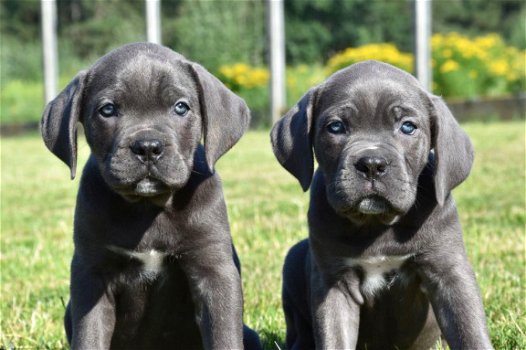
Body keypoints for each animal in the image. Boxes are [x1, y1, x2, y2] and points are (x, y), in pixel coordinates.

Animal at [40, 43, 262, 350]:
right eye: (107, 109)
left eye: (181, 107)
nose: (147, 146)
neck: (148, 207)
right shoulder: (92, 273)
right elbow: (89, 336)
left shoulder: (214, 270)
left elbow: (223, 336)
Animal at [272, 60, 496, 350]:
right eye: (336, 127)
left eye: (408, 127)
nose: (371, 164)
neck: (376, 224)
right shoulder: (334, 282)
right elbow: (334, 336)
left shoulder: (448, 270)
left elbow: (469, 330)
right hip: (294, 258)